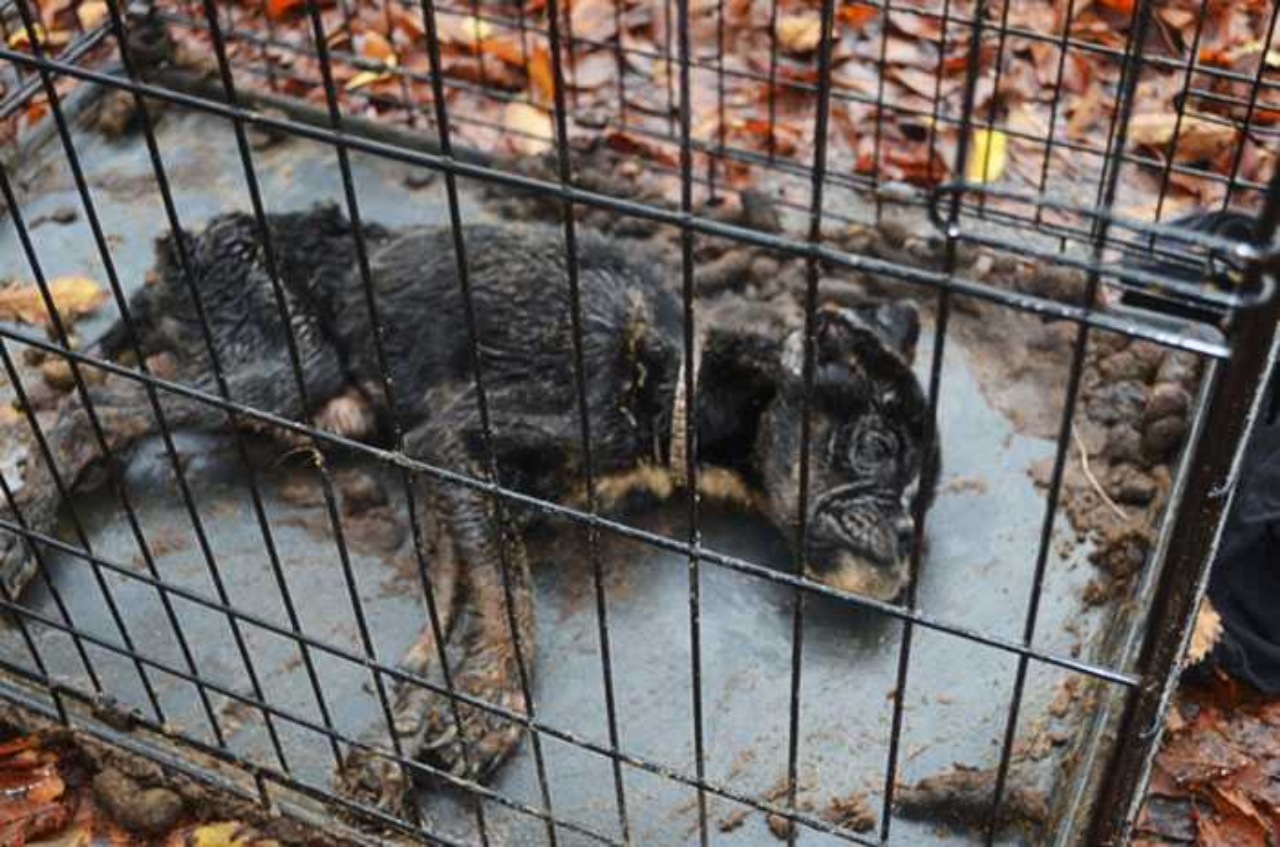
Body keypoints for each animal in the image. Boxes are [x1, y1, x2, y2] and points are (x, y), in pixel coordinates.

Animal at [0, 207, 942, 818]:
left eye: (923, 497)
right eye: (878, 447)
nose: (905, 548)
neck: (679, 376)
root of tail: (184, 241)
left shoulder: (432, 470)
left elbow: (451, 608)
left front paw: (409, 731)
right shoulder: (454, 445)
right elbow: (510, 602)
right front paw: (492, 707)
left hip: (318, 402)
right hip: (288, 376)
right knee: (98, 404)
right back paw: (23, 527)